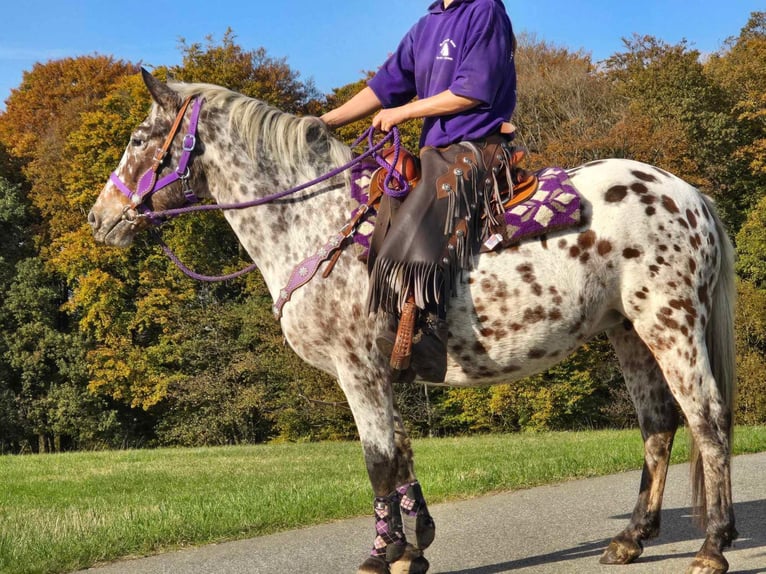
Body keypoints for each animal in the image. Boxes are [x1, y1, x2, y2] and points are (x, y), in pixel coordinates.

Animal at [87, 71, 740, 574]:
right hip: (627, 332)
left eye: (139, 137)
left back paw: (712, 545)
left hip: (671, 324)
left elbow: (378, 460)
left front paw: (383, 554)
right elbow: (400, 453)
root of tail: (692, 197)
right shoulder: (380, 373)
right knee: (657, 425)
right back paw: (630, 539)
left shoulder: (357, 369)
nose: (99, 217)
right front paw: (414, 545)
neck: (317, 224)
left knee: (707, 418)